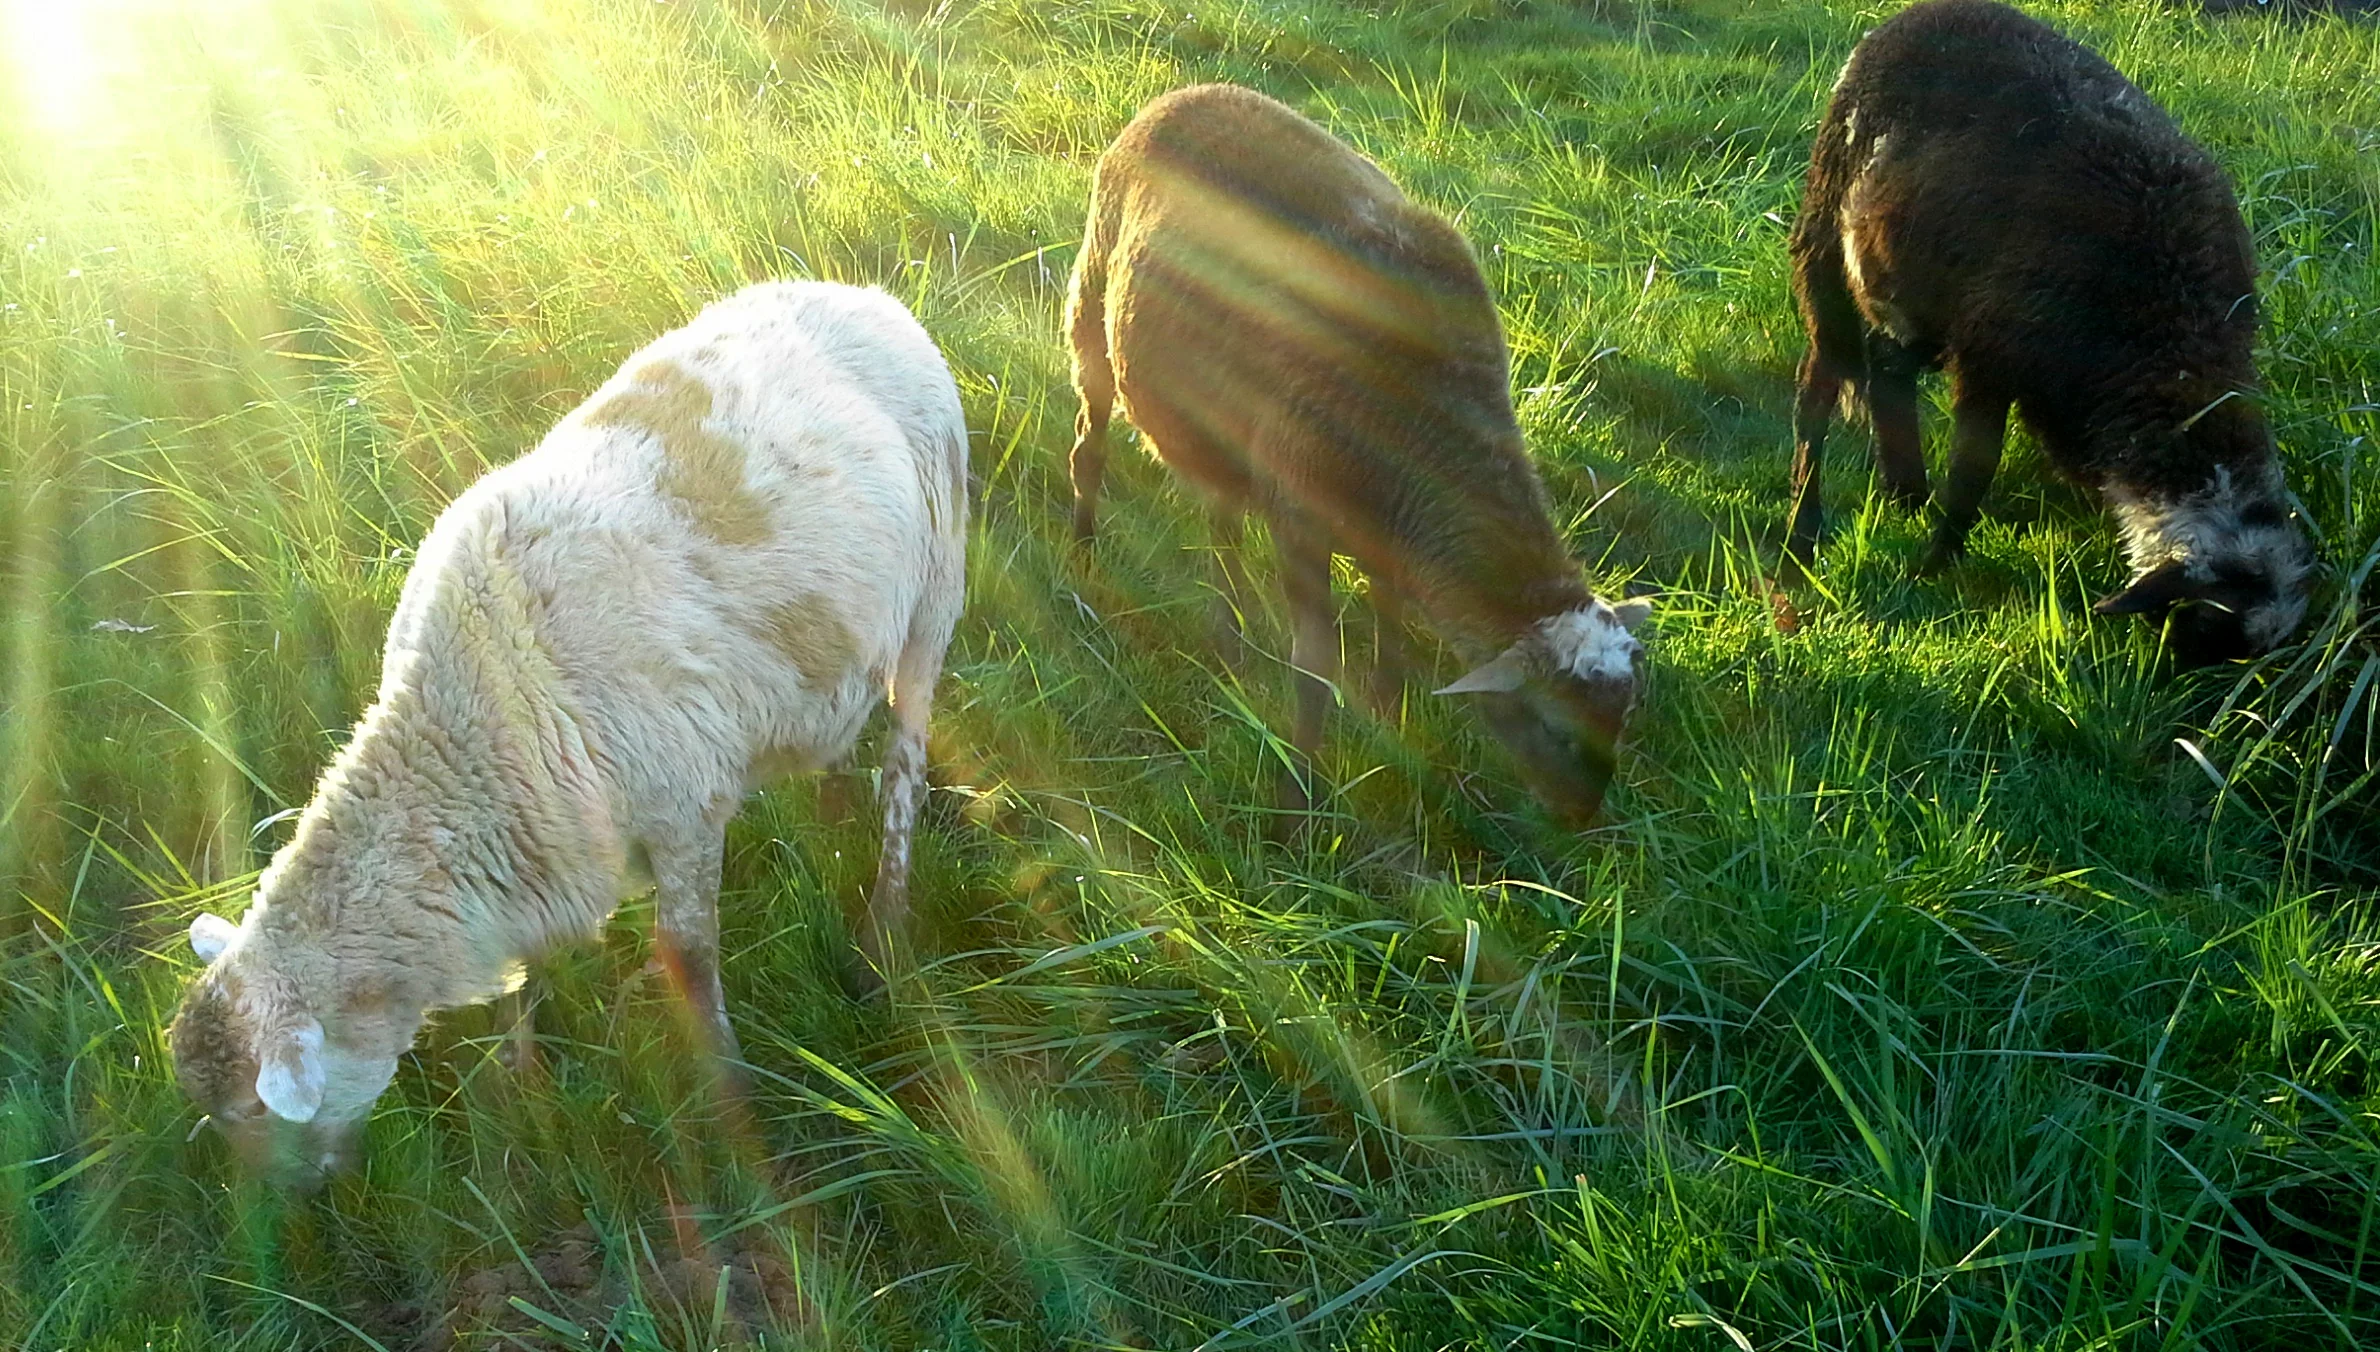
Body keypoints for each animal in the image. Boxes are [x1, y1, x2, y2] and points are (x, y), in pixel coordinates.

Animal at [167, 281, 969, 1186]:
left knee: (903, 764)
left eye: (255, 1112)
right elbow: (525, 979)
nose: (292, 1204)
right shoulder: (539, 844)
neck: (468, 737)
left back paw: (884, 927)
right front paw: (521, 1080)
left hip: (938, 576)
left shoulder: (684, 810)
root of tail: (859, 294)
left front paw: (728, 1089)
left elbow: (689, 959)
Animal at [1065, 83, 1648, 825]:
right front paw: (1297, 798)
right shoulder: (1301, 517)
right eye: (1551, 723)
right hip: (1091, 306)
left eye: (1626, 714)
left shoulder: (1385, 526)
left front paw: (1389, 713)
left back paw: (1228, 636)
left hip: (1223, 423)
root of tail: (1179, 94)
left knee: (1221, 517)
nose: (1581, 816)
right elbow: (1314, 665)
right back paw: (1083, 547)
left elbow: (1390, 624)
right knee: (1089, 443)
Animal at [1784, 0, 2314, 661]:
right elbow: (1973, 470)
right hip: (1826, 238)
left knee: (1887, 372)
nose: (2166, 683)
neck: (2168, 338)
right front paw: (1934, 566)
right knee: (1819, 387)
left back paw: (1904, 495)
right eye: (2204, 625)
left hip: (1910, 289)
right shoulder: (1989, 354)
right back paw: (1804, 530)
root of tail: (1909, 17)